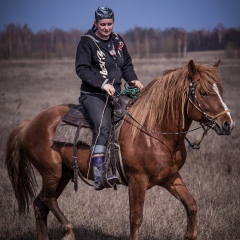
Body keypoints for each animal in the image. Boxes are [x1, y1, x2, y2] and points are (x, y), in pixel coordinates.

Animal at [4, 58, 233, 240]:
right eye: (204, 92)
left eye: (220, 91)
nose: (227, 124)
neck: (154, 130)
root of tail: (30, 123)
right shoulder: (137, 180)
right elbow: (136, 218)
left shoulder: (170, 177)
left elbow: (191, 204)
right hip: (52, 172)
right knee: (48, 200)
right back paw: (68, 231)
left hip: (64, 174)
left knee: (39, 205)